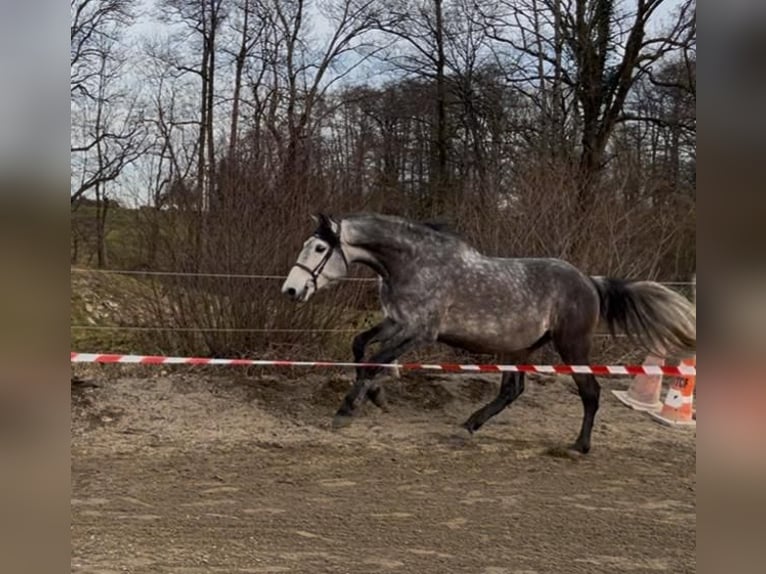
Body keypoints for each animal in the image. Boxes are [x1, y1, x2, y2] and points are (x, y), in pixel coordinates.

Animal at [281, 213, 696, 454]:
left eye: (319, 247)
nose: (291, 290)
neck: (414, 264)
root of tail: (590, 283)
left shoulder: (420, 331)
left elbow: (375, 360)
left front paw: (347, 410)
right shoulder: (397, 321)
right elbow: (361, 347)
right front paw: (376, 397)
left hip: (572, 346)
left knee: (590, 391)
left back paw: (579, 446)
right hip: (521, 348)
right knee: (513, 390)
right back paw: (470, 424)